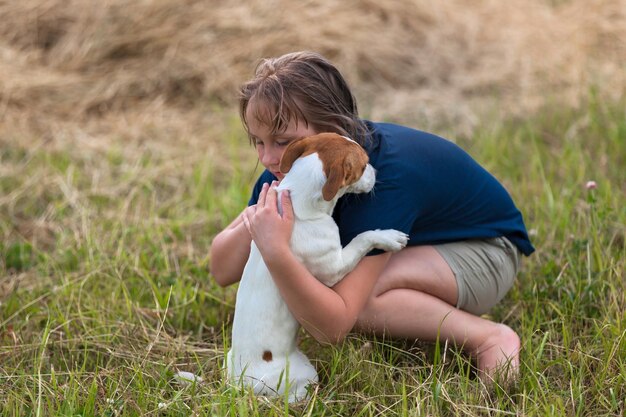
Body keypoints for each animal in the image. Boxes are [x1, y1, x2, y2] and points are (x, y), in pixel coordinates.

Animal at [227, 132, 408, 402]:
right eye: (364, 164)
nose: (376, 171)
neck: (298, 200)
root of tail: (240, 385)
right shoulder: (335, 266)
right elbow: (363, 238)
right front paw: (387, 236)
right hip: (302, 372)